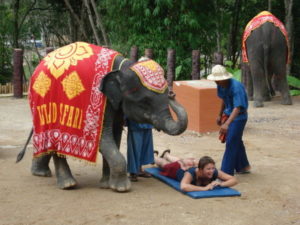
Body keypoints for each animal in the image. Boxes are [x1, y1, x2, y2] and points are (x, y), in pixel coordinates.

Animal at [17, 42, 188, 192]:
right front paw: (122, 188)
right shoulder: (100, 100)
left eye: (166, 96)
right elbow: (102, 137)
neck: (123, 67)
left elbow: (115, 135)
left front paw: (107, 185)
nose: (172, 94)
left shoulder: (114, 102)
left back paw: (40, 173)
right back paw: (68, 185)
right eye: (145, 102)